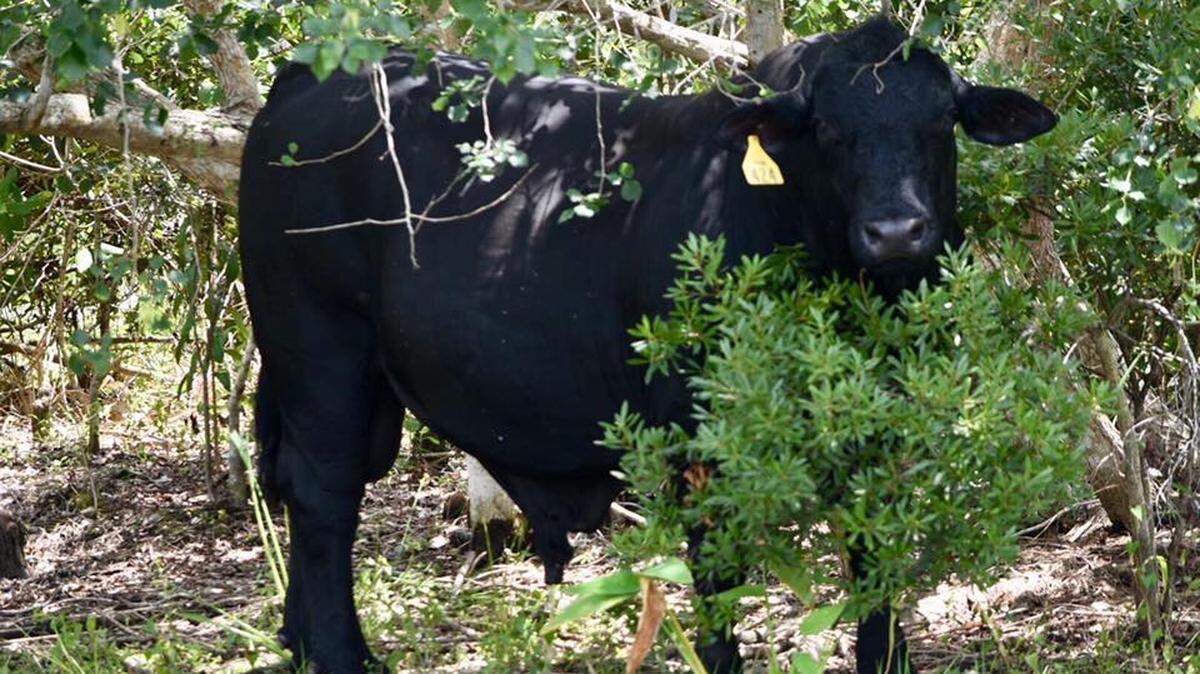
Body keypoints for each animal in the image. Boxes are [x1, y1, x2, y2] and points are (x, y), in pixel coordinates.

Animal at [238, 15, 1056, 674]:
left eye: (942, 121)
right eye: (828, 130)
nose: (895, 231)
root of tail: (312, 76)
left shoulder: (883, 435)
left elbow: (873, 562)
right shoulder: (698, 437)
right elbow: (718, 579)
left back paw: (302, 645)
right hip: (319, 350)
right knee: (323, 496)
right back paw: (341, 655)